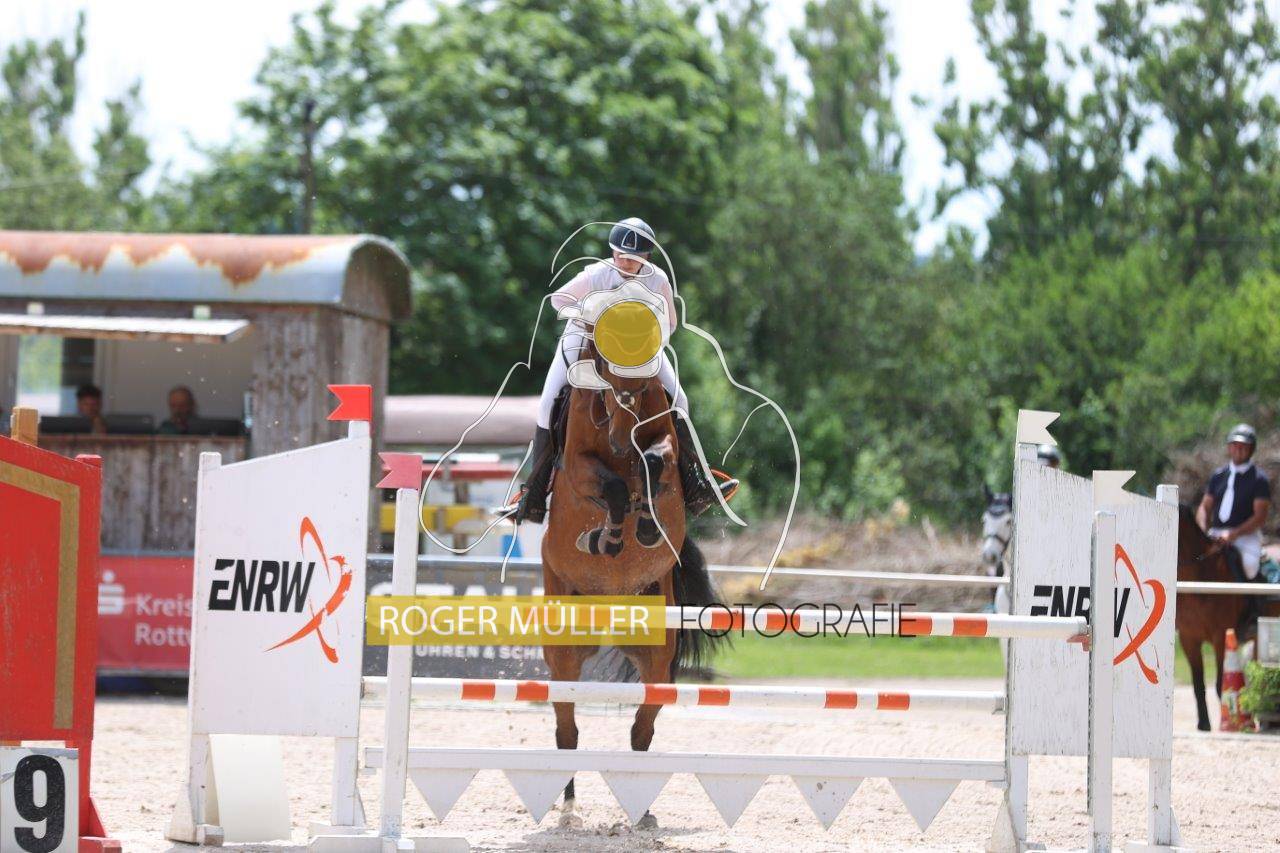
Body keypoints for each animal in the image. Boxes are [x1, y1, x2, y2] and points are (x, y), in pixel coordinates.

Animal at [541, 337, 725, 829]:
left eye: (642, 387)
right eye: (604, 377)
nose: (621, 440)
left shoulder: (664, 440)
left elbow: (656, 460)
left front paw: (643, 525)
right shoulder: (579, 466)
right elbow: (611, 487)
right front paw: (607, 536)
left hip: (658, 659)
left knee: (642, 729)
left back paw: (641, 809)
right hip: (564, 655)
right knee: (567, 730)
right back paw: (568, 809)